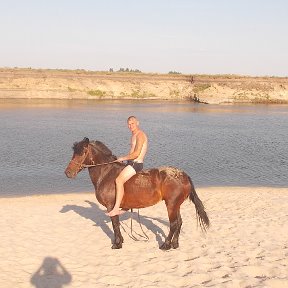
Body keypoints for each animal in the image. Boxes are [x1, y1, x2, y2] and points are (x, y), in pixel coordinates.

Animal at [65, 138, 209, 250]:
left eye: (83, 152)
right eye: (74, 152)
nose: (68, 172)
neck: (106, 173)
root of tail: (183, 175)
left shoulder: (111, 207)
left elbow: (115, 224)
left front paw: (117, 244)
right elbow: (116, 224)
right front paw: (120, 241)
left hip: (171, 205)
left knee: (173, 224)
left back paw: (166, 245)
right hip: (175, 205)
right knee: (179, 222)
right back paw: (175, 243)